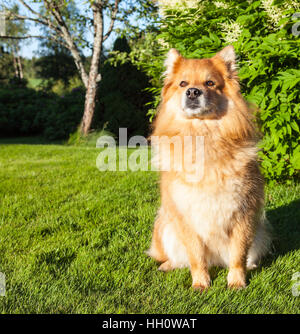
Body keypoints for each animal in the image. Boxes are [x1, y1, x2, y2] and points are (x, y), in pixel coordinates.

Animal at [146, 45, 270, 290]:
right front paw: (201, 283)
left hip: (258, 234)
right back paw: (168, 265)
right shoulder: (186, 215)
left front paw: (236, 282)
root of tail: (217, 261)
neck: (203, 135)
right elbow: (196, 256)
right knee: (178, 258)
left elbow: (238, 254)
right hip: (165, 227)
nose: (193, 92)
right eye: (183, 83)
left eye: (210, 83)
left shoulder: (243, 214)